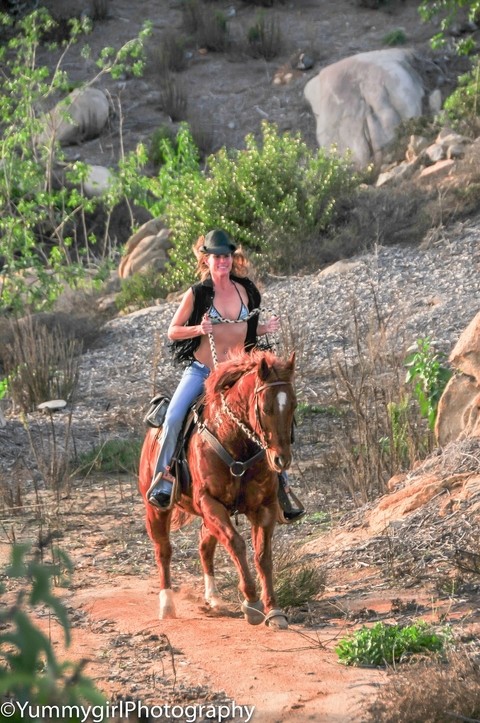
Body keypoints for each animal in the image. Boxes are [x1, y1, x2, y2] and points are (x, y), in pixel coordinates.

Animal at [139, 350, 296, 628]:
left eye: (293, 406)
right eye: (265, 408)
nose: (281, 460)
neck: (234, 441)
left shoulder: (264, 507)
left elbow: (263, 556)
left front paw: (274, 610)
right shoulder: (210, 502)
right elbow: (236, 543)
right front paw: (252, 603)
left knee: (205, 546)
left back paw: (213, 598)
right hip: (156, 510)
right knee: (163, 551)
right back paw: (167, 605)